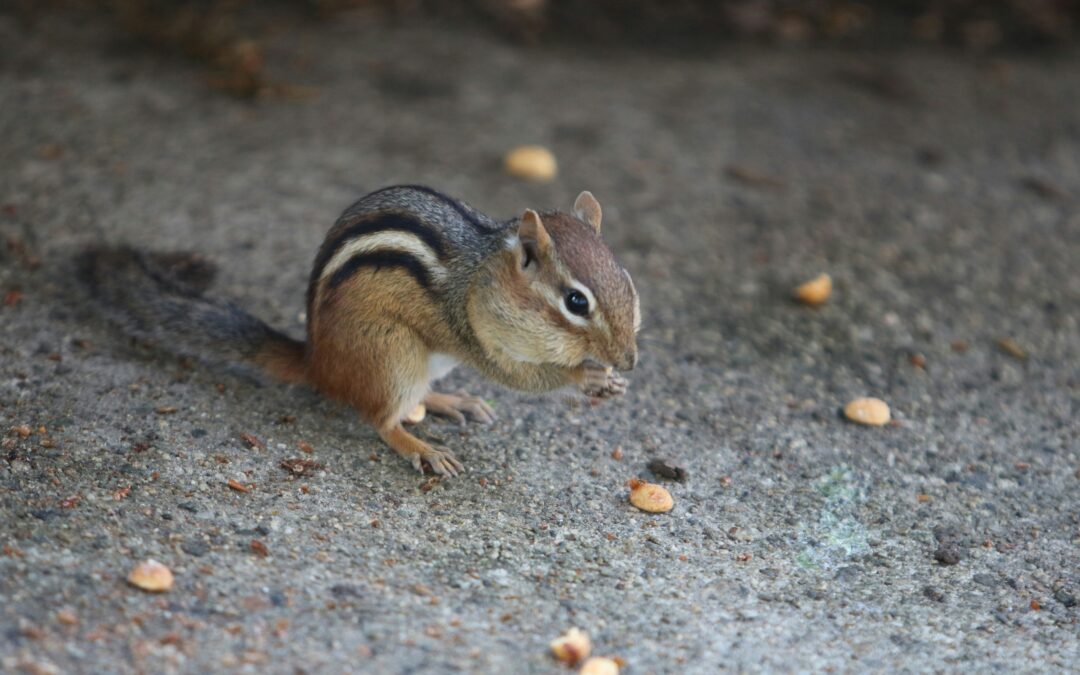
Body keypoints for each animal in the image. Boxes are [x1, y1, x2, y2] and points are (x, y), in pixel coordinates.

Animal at [79, 185, 640, 476]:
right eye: (576, 301)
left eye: (626, 278)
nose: (630, 360)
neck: (484, 274)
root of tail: (317, 362)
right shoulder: (477, 334)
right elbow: (522, 378)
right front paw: (587, 377)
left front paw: (610, 379)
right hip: (392, 354)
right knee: (382, 419)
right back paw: (422, 448)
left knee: (415, 399)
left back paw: (450, 401)